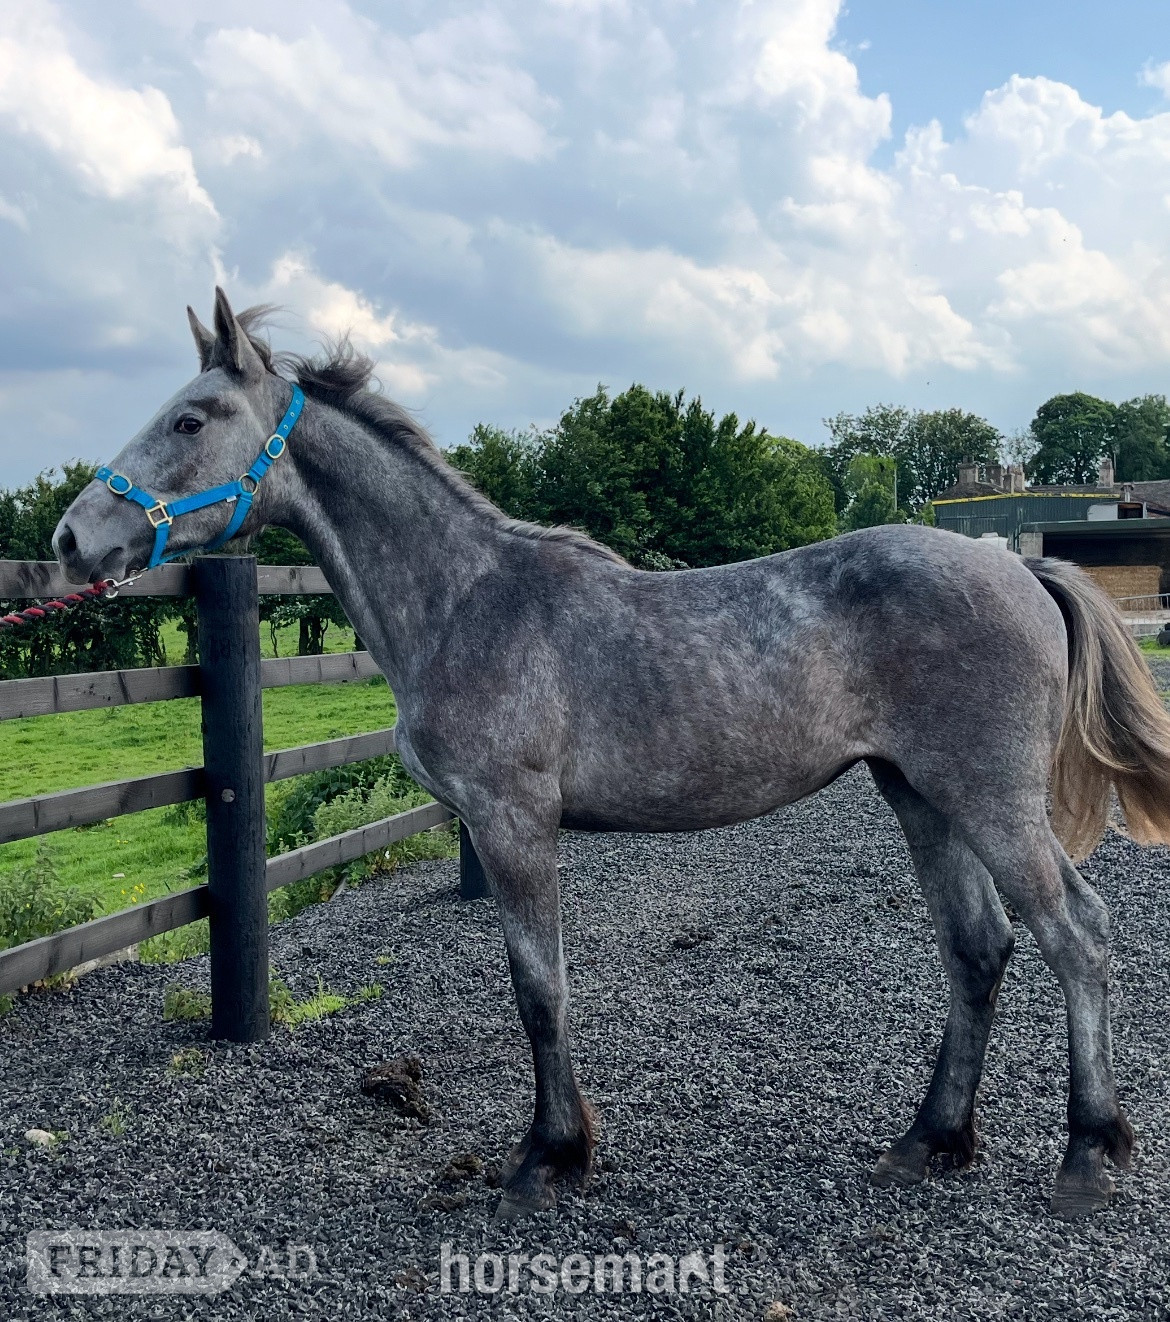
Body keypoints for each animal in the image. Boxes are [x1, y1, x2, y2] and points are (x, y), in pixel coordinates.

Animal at [53, 289, 1170, 1221]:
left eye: (192, 418)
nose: (71, 538)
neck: (468, 600)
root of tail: (1016, 567)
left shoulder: (513, 822)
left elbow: (539, 990)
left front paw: (548, 1156)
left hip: (990, 800)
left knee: (1076, 933)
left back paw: (1087, 1153)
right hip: (919, 796)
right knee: (977, 947)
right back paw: (929, 1139)